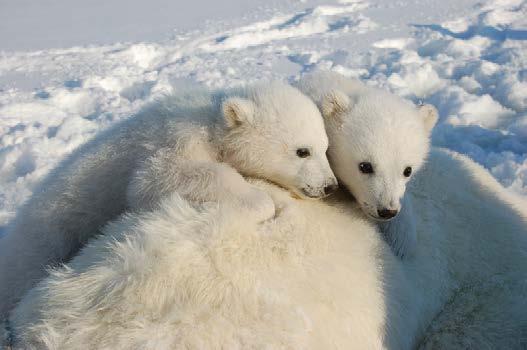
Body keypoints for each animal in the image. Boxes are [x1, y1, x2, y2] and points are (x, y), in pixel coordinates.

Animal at [0, 81, 338, 320]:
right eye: (302, 151)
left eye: (325, 147)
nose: (329, 186)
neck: (212, 120)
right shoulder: (174, 139)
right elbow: (155, 180)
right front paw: (261, 200)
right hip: (46, 234)